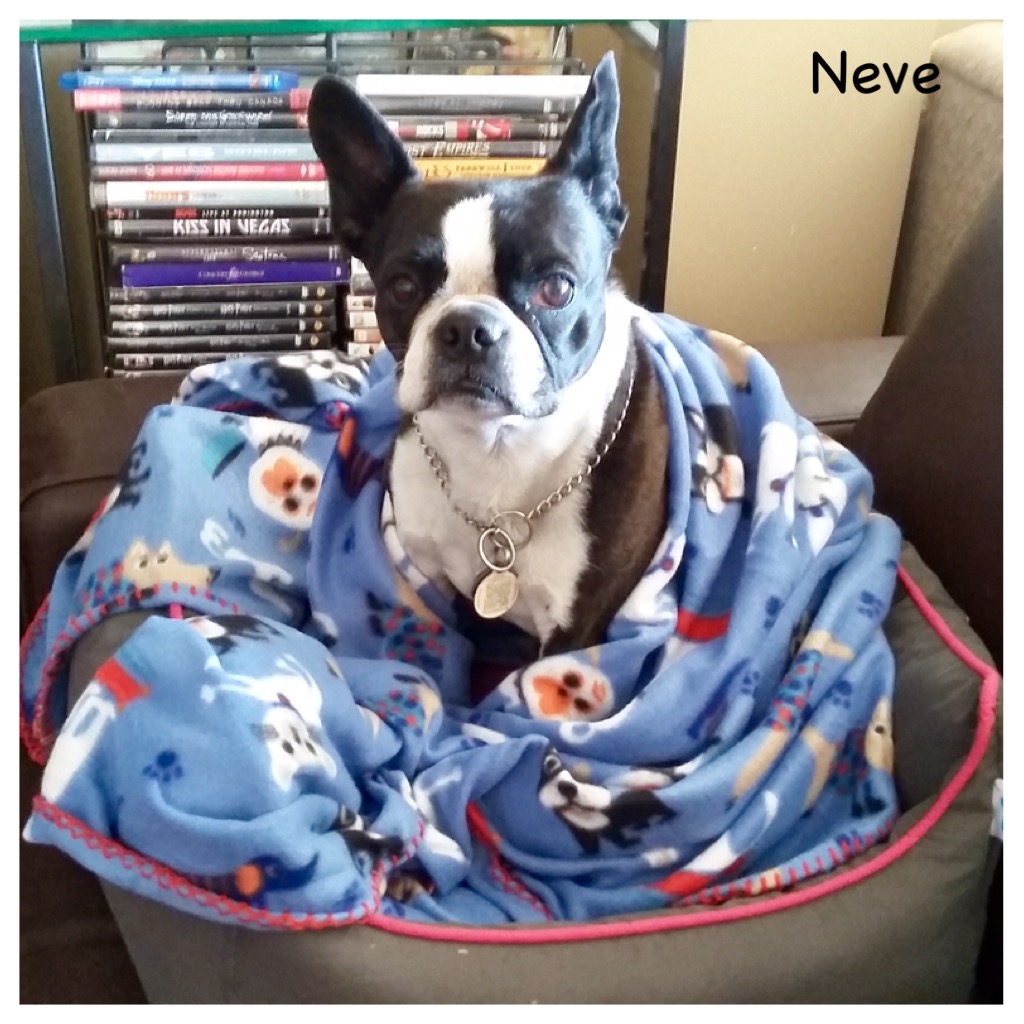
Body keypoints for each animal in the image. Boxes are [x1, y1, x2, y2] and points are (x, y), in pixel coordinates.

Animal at [307, 54, 669, 674]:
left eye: (556, 288)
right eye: (402, 287)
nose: (467, 328)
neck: (496, 452)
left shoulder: (574, 633)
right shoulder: (421, 576)